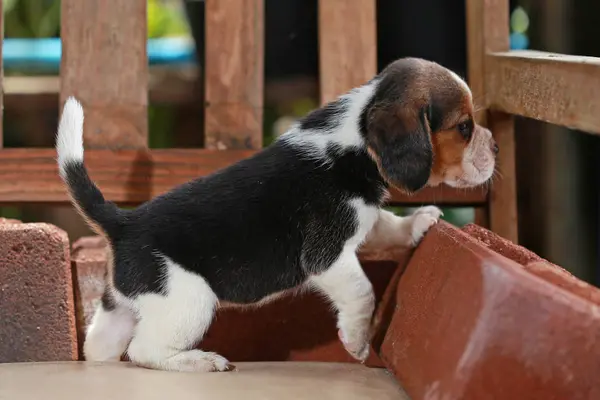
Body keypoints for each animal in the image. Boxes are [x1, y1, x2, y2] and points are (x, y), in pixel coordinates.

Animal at [55, 56, 496, 372]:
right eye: (464, 127)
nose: (494, 146)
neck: (355, 139)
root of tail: (123, 222)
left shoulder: (362, 218)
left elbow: (385, 225)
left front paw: (418, 223)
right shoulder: (327, 256)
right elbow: (362, 292)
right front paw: (356, 340)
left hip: (121, 305)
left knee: (100, 345)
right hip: (189, 300)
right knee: (145, 350)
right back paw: (199, 361)